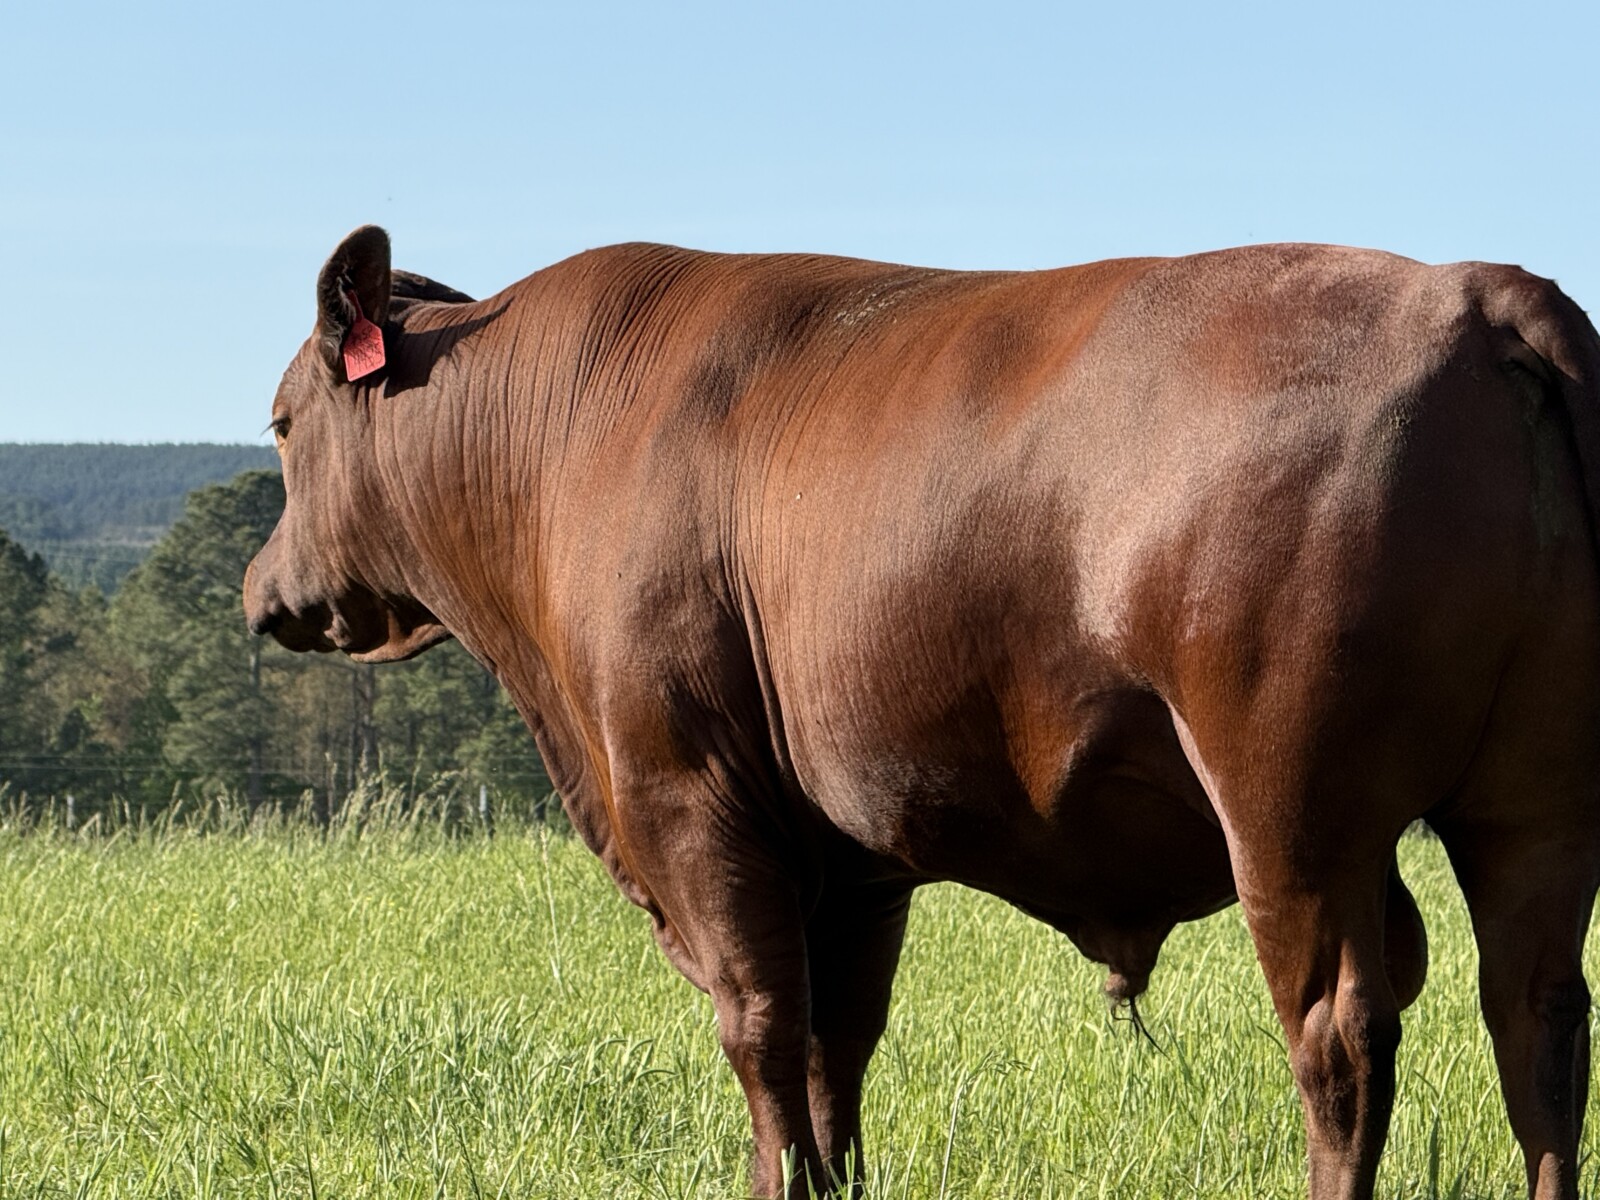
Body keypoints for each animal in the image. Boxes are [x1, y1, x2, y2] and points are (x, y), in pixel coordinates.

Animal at [244, 225, 1600, 1200]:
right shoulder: (849, 856)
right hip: (1531, 809)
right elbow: (834, 1041)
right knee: (1537, 1023)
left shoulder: (690, 797)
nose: (262, 591)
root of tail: (1471, 293)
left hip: (1293, 812)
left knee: (1341, 1041)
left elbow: (760, 1024)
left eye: (279, 423)